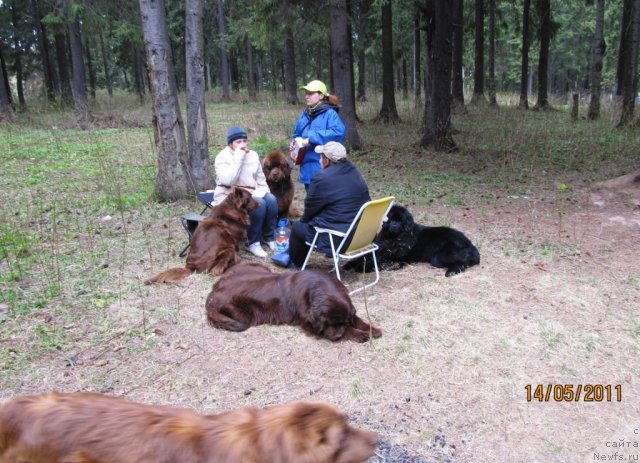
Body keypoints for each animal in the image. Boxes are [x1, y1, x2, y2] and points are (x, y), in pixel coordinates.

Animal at [205, 262, 380, 342]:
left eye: (342, 322)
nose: (337, 336)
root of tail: (213, 293)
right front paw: (359, 334)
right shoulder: (310, 324)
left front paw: (373, 329)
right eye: (329, 323)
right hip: (243, 313)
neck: (321, 288)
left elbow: (357, 319)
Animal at [344, 206, 480, 278]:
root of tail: (470, 245)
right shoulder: (379, 251)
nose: (394, 225)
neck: (394, 238)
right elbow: (364, 257)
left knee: (463, 264)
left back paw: (451, 272)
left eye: (400, 220)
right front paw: (349, 264)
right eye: (390, 219)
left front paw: (360, 268)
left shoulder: (395, 260)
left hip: (439, 257)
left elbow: (374, 263)